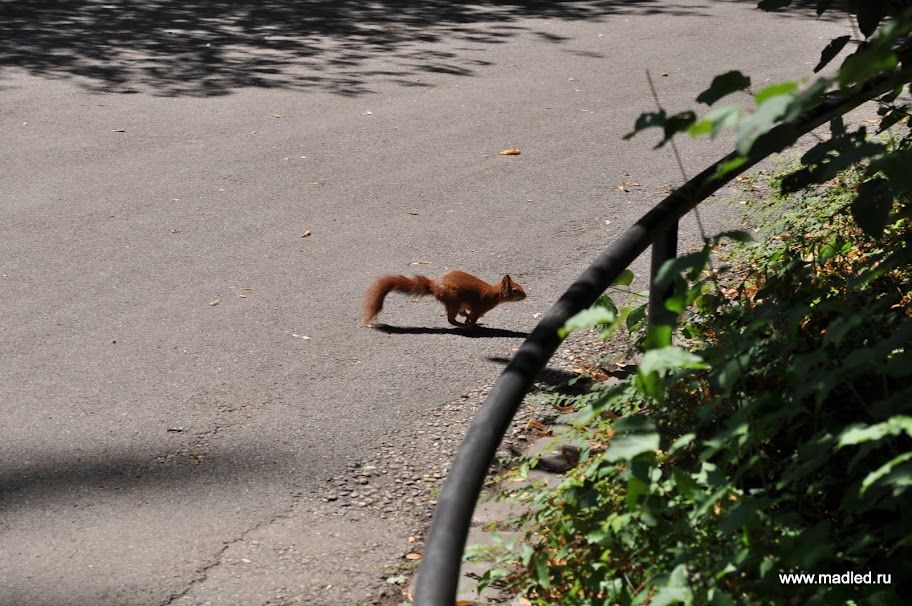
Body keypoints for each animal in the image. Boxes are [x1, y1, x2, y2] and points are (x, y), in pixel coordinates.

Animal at [360, 270, 524, 328]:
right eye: (515, 290)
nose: (525, 295)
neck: (494, 294)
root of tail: (433, 285)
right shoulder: (479, 306)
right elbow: (473, 316)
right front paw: (471, 323)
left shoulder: (468, 306)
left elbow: (467, 313)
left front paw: (468, 320)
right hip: (453, 299)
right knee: (450, 319)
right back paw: (463, 326)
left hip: (455, 302)